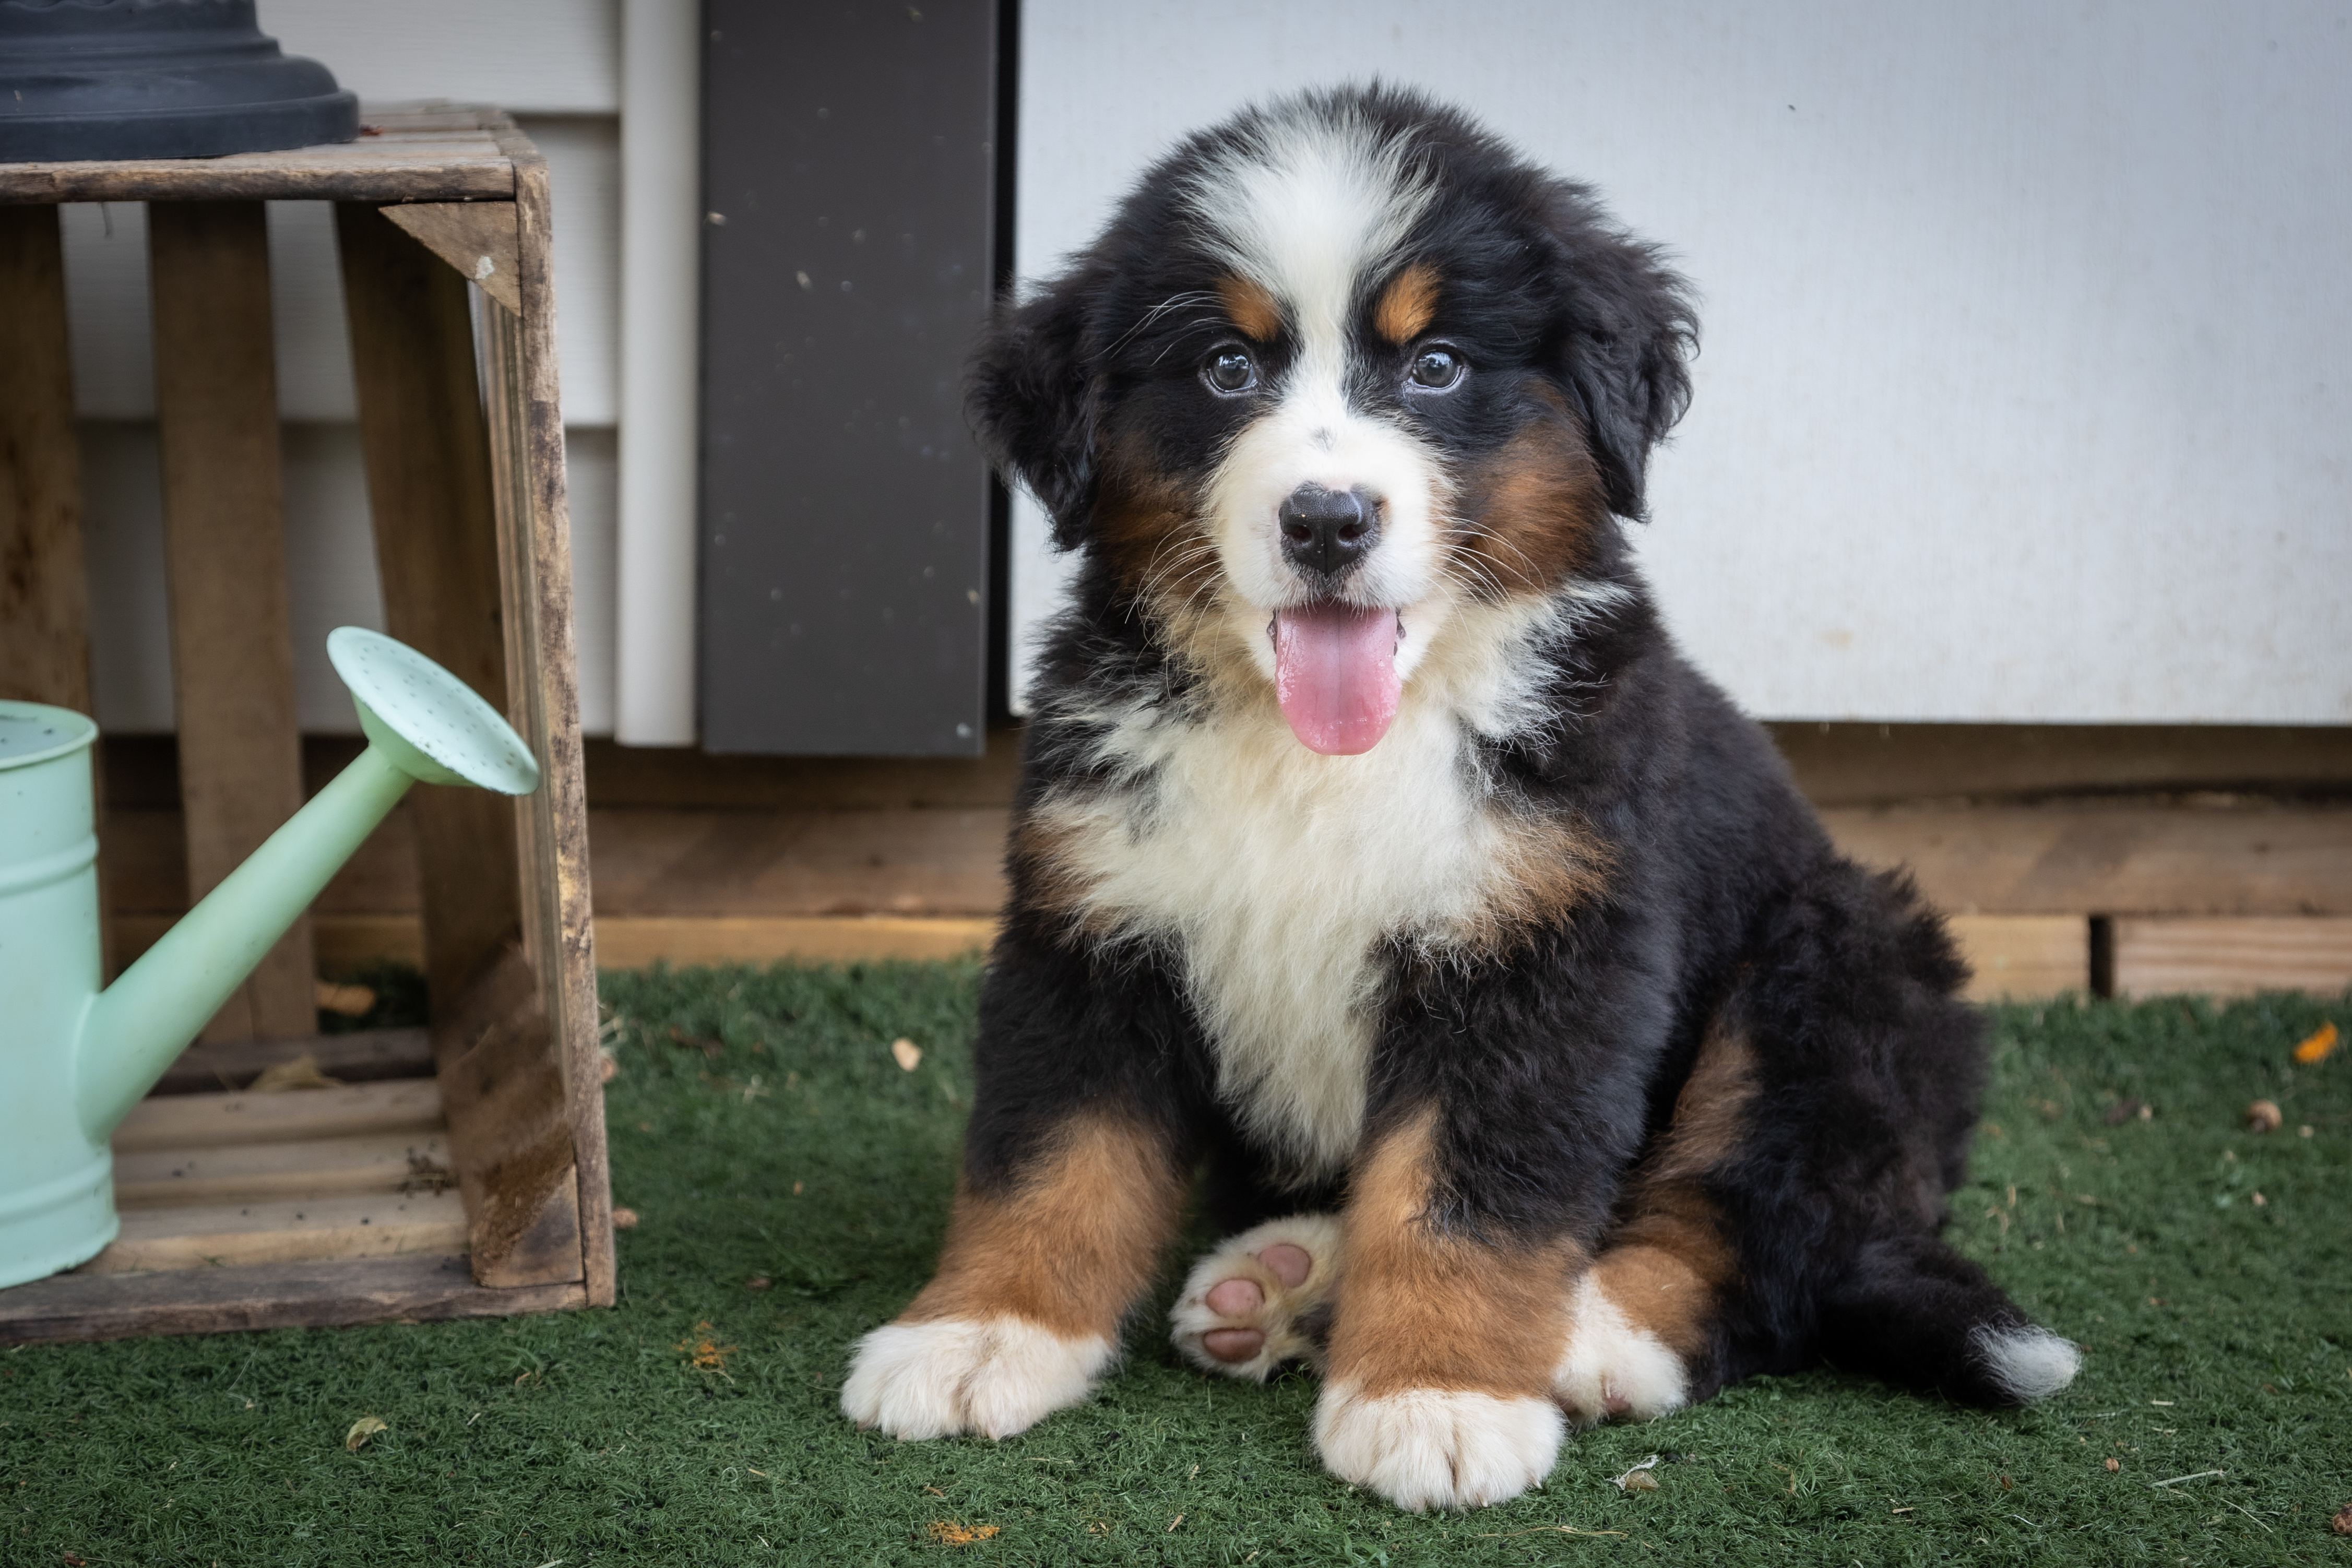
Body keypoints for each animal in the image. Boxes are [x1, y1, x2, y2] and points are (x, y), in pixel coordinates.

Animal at [842, 82, 2079, 1504]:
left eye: (1433, 366)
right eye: (1226, 369)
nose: (1328, 520)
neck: (1321, 755)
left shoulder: (1543, 947)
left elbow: (1466, 1193)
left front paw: (1437, 1397)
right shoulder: (1095, 917)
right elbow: (1051, 1154)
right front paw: (980, 1334)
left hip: (1832, 965)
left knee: (1763, 1218)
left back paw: (1598, 1331)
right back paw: (1284, 1277)